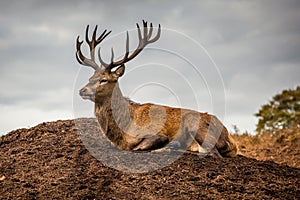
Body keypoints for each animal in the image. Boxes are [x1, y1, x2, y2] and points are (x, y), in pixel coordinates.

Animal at [76, 20, 238, 158]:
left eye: (104, 80)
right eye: (90, 78)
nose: (82, 90)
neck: (125, 129)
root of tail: (230, 138)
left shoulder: (157, 133)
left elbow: (138, 147)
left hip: (196, 124)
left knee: (213, 152)